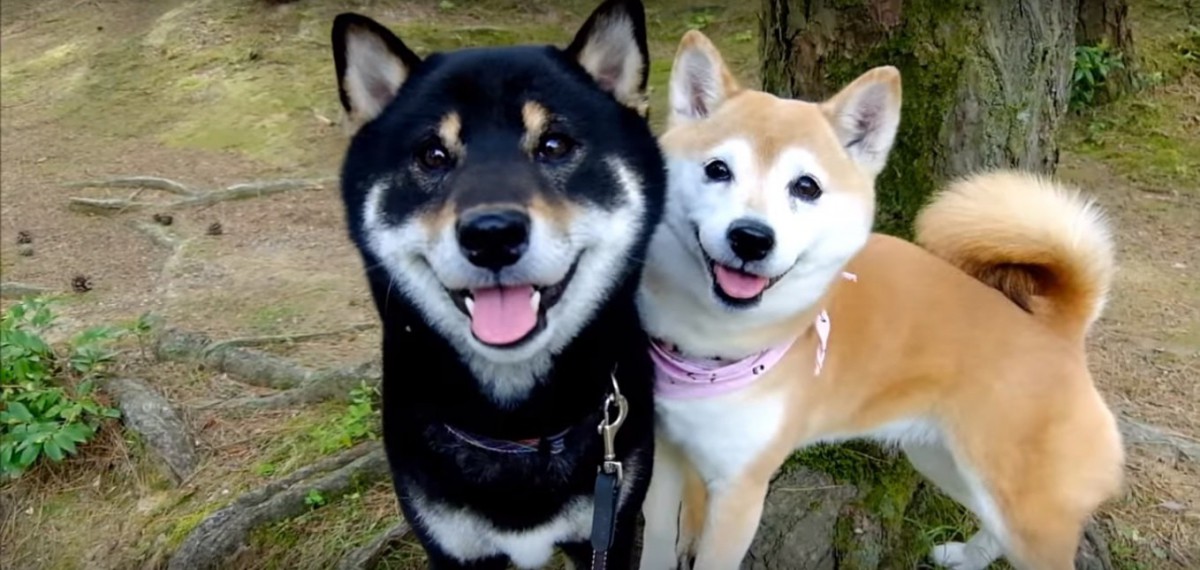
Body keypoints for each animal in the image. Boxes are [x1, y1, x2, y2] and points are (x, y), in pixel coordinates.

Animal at [328, 2, 667, 568]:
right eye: (432, 155)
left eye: (554, 144)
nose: (491, 235)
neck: (520, 430)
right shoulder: (450, 546)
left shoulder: (611, 526)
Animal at [638, 30, 1123, 570]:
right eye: (717, 169)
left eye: (806, 187)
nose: (751, 237)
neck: (710, 352)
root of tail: (1059, 332)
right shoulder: (666, 457)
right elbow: (657, 543)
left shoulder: (740, 491)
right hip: (947, 463)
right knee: (992, 527)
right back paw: (965, 557)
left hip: (1025, 511)